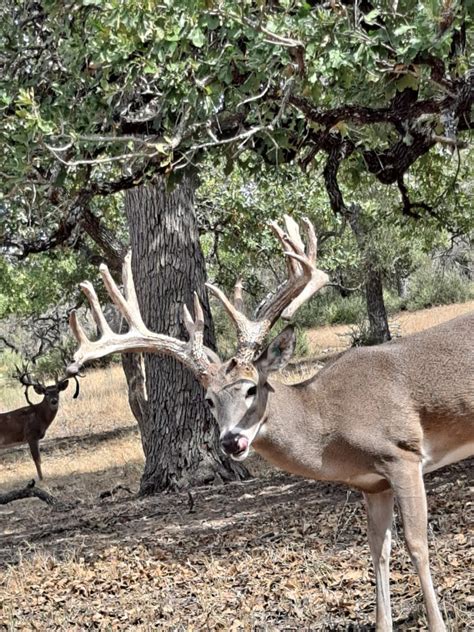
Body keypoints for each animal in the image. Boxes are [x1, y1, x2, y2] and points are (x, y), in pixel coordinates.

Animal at [65, 217, 472, 632]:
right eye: (208, 400)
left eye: (251, 388)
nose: (231, 442)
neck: (329, 421)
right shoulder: (372, 483)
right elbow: (378, 550)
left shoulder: (402, 455)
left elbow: (417, 545)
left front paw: (437, 624)